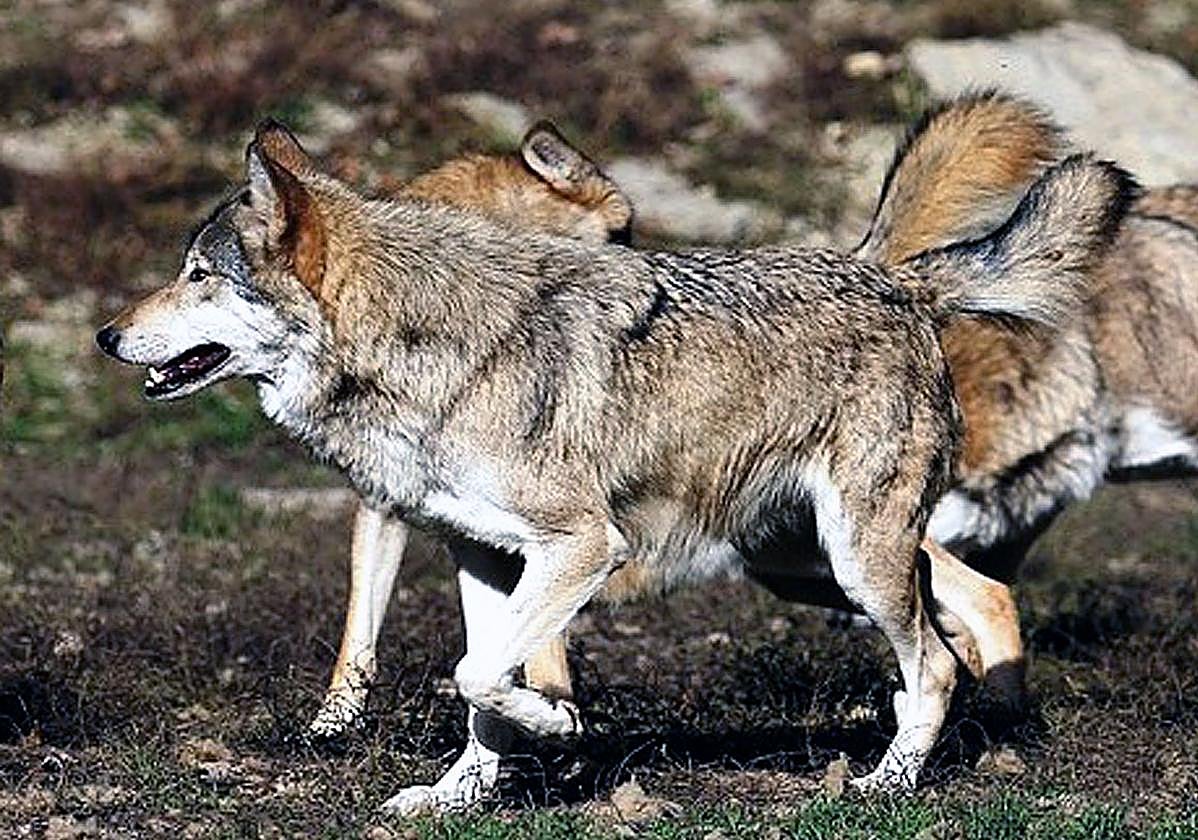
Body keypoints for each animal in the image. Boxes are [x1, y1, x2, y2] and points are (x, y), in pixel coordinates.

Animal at [95, 121, 1131, 811]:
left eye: (198, 276)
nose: (106, 335)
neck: (418, 348)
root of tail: (896, 277)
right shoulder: (485, 557)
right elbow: (481, 685)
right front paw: (458, 797)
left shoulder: (581, 547)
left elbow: (480, 674)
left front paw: (555, 726)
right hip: (801, 563)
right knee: (953, 618)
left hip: (852, 562)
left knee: (935, 661)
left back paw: (886, 784)